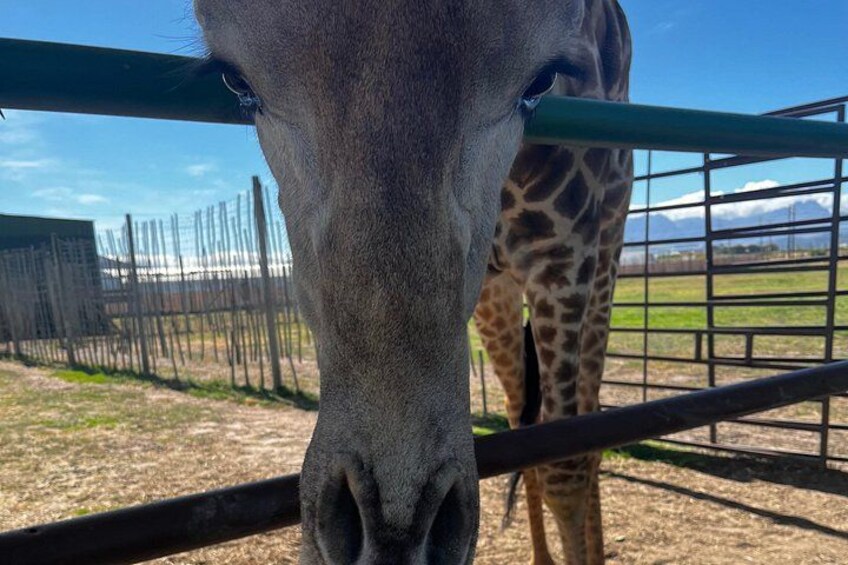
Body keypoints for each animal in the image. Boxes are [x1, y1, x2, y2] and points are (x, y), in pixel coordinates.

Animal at [194, 0, 631, 562]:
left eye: (540, 80)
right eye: (235, 79)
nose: (394, 538)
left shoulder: (565, 253)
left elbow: (569, 460)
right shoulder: (492, 289)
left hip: (608, 246)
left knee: (588, 421)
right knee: (521, 415)